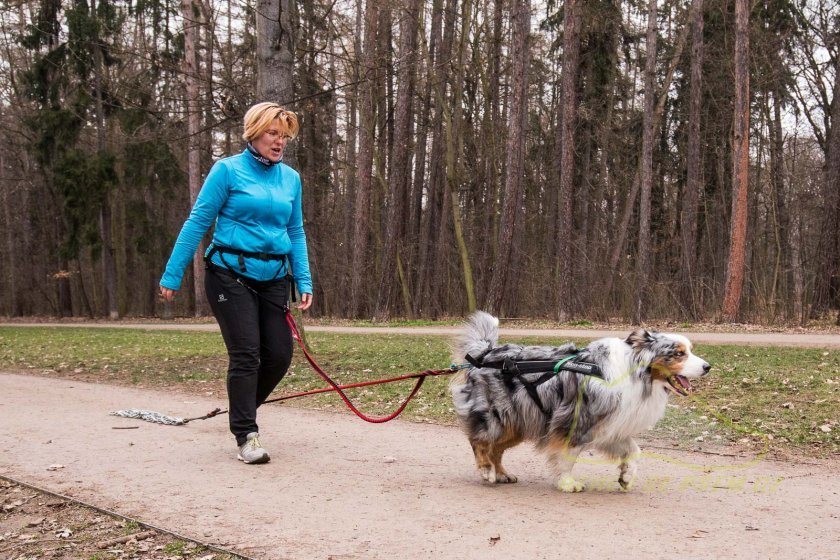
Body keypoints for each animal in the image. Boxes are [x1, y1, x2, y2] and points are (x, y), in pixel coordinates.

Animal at [450, 312, 712, 492]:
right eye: (678, 353)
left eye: (689, 350)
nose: (708, 367)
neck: (635, 373)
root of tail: (485, 354)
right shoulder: (575, 421)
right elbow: (568, 456)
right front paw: (567, 483)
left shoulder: (611, 425)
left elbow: (633, 450)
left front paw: (626, 476)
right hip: (498, 416)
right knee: (478, 440)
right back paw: (486, 470)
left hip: (518, 422)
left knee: (496, 448)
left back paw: (502, 473)